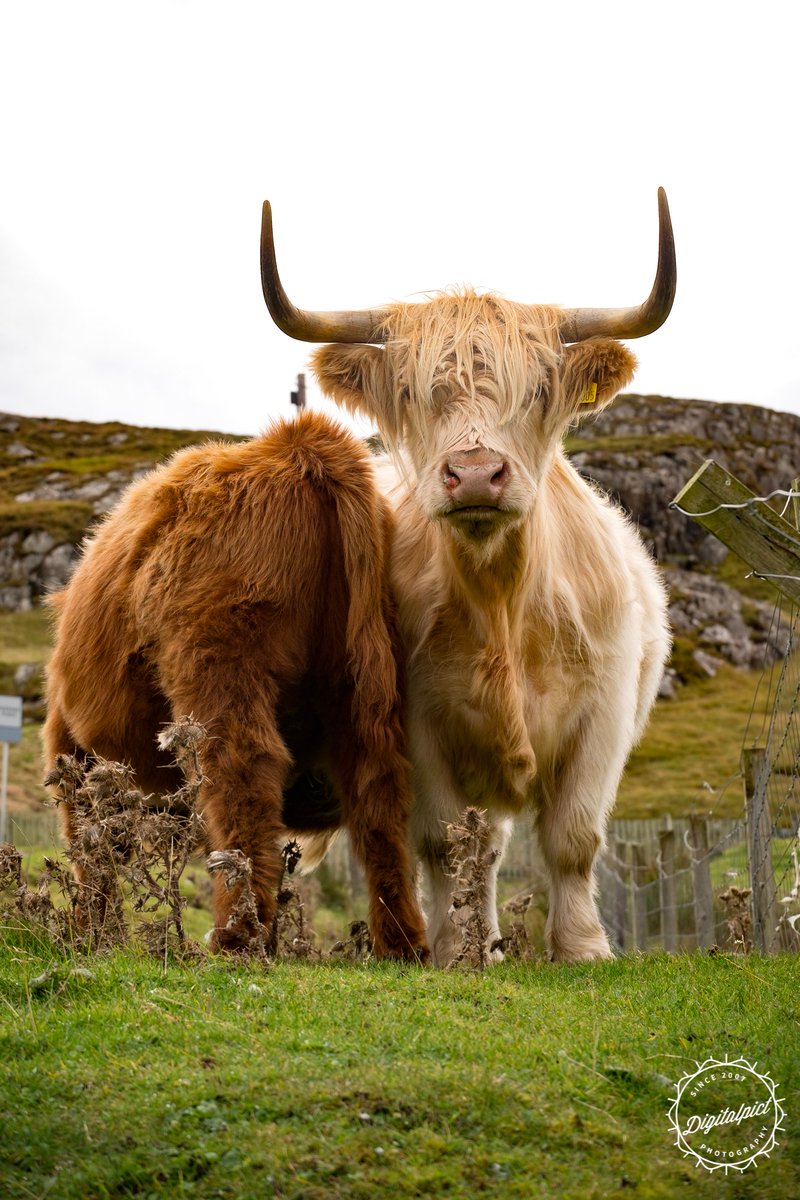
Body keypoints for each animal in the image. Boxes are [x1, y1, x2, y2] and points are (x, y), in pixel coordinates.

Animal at [43, 412, 428, 960]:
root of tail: (298, 443)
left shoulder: (70, 747)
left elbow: (92, 846)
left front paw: (90, 933)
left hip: (218, 668)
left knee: (243, 773)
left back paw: (237, 936)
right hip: (366, 676)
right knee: (379, 796)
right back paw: (401, 944)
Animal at [259, 191, 675, 963]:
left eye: (540, 387)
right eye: (410, 390)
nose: (477, 473)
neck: (501, 599)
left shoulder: (602, 717)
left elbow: (573, 838)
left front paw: (582, 948)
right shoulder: (415, 724)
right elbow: (444, 843)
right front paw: (456, 951)